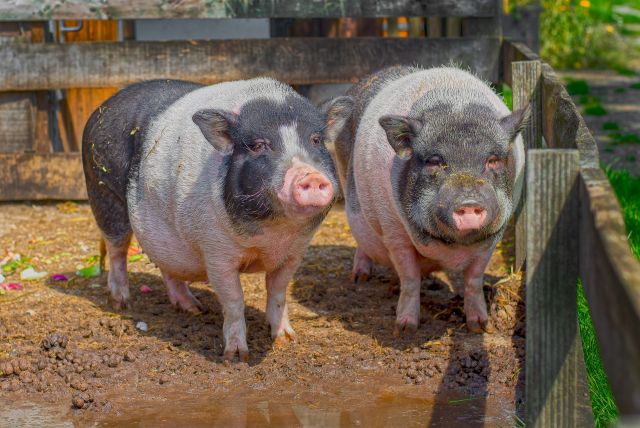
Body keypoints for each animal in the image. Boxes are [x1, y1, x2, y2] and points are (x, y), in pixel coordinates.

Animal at [82, 78, 353, 360]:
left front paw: (287, 340)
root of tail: (105, 105)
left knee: (166, 265)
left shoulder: (294, 252)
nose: (310, 175)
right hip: (104, 193)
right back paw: (121, 302)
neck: (272, 235)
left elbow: (278, 291)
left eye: (316, 140)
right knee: (117, 250)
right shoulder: (216, 253)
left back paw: (193, 308)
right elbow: (234, 300)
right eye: (258, 145)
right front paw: (236, 356)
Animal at [334, 66, 527, 334]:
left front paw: (479, 326)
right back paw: (359, 278)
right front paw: (405, 328)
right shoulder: (394, 232)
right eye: (435, 161)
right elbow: (410, 279)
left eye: (493, 160)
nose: (468, 202)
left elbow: (474, 280)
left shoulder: (492, 238)